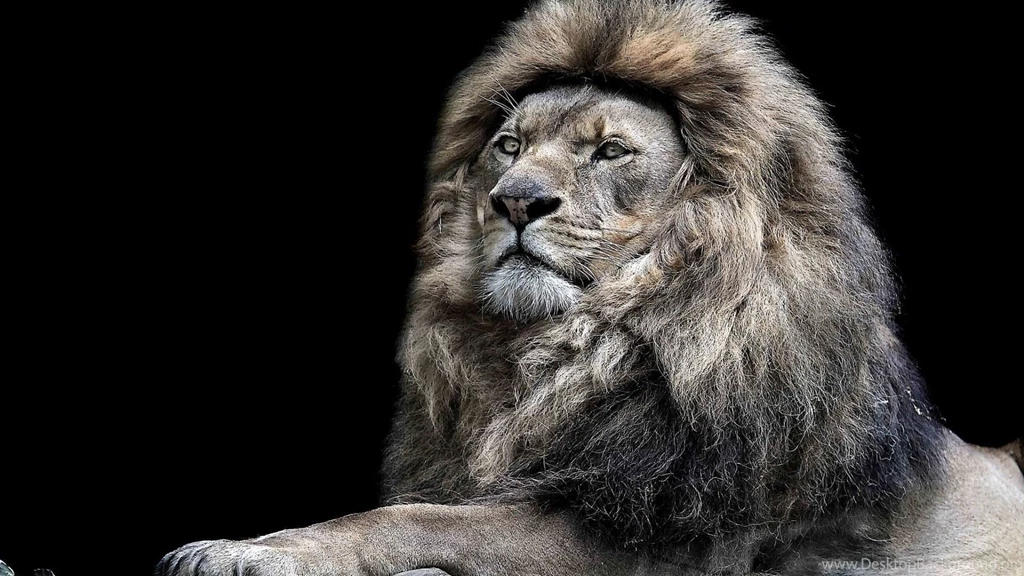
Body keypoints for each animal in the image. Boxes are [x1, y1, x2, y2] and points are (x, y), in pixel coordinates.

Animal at [158, 1, 1024, 575]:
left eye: (609, 151)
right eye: (510, 145)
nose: (514, 200)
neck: (573, 348)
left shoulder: (650, 530)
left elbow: (415, 519)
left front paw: (246, 551)